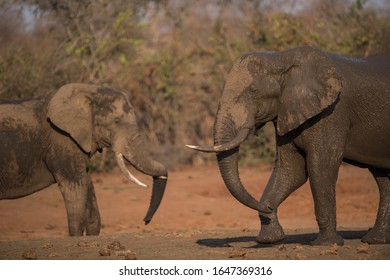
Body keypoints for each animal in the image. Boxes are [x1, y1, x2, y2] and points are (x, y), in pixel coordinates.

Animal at [0, 83, 168, 236]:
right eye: (117, 121)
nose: (145, 221)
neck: (87, 91)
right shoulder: (62, 139)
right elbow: (75, 187)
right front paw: (75, 238)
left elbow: (87, 186)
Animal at [187, 46, 388, 245]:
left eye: (253, 91)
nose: (267, 207)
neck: (281, 59)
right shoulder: (287, 112)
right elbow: (291, 171)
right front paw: (269, 239)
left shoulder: (332, 114)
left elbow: (321, 168)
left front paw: (326, 244)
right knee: (382, 177)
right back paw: (375, 240)